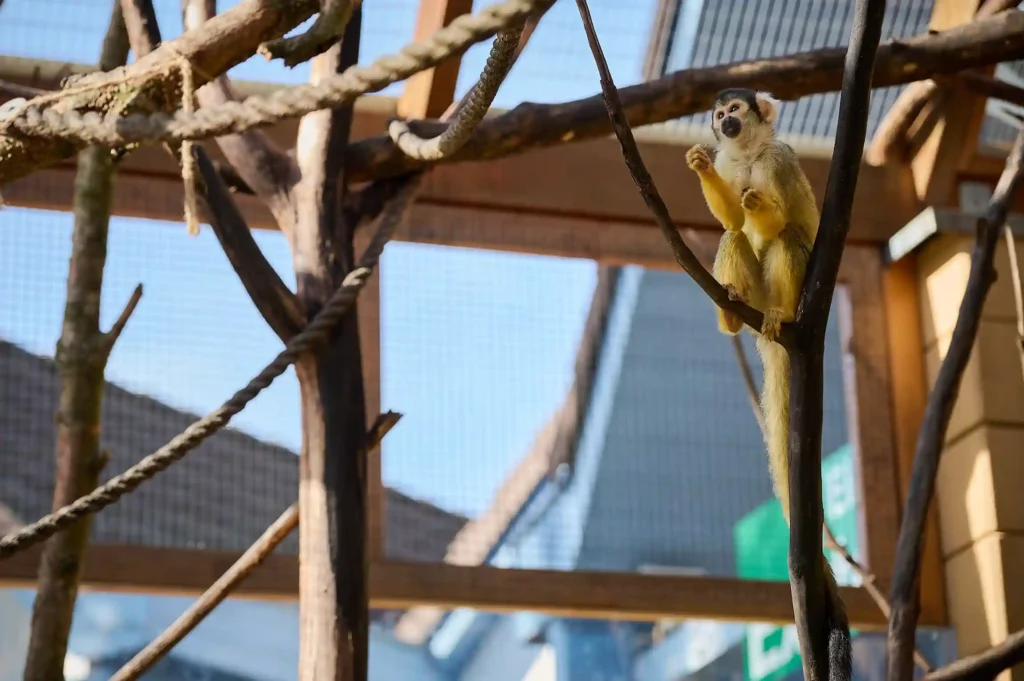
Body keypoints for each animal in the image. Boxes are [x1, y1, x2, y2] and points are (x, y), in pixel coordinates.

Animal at [686, 88, 851, 681]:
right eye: (718, 116)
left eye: (736, 110)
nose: (725, 121)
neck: (750, 153)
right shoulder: (733, 162)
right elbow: (731, 215)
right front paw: (702, 168)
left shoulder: (777, 160)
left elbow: (778, 214)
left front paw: (762, 203)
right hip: (747, 297)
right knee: (735, 237)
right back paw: (732, 314)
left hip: (800, 291)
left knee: (787, 242)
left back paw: (780, 313)